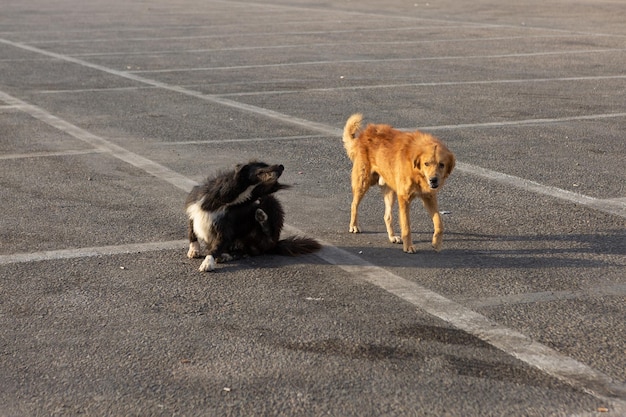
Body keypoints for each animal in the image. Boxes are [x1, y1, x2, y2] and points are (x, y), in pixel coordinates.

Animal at [184, 161, 322, 272]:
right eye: (263, 165)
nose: (281, 166)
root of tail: (276, 245)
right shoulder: (193, 210)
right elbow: (192, 232)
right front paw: (194, 250)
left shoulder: (225, 228)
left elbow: (216, 247)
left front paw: (207, 263)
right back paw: (226, 255)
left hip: (271, 202)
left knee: (265, 240)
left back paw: (261, 217)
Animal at [342, 112, 454, 252]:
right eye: (426, 164)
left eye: (441, 165)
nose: (433, 180)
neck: (416, 172)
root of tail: (364, 134)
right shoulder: (404, 198)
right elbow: (406, 226)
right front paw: (409, 246)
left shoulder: (429, 197)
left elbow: (439, 222)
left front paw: (436, 243)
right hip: (362, 182)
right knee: (354, 204)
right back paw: (354, 225)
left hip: (390, 192)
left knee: (387, 216)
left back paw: (392, 237)